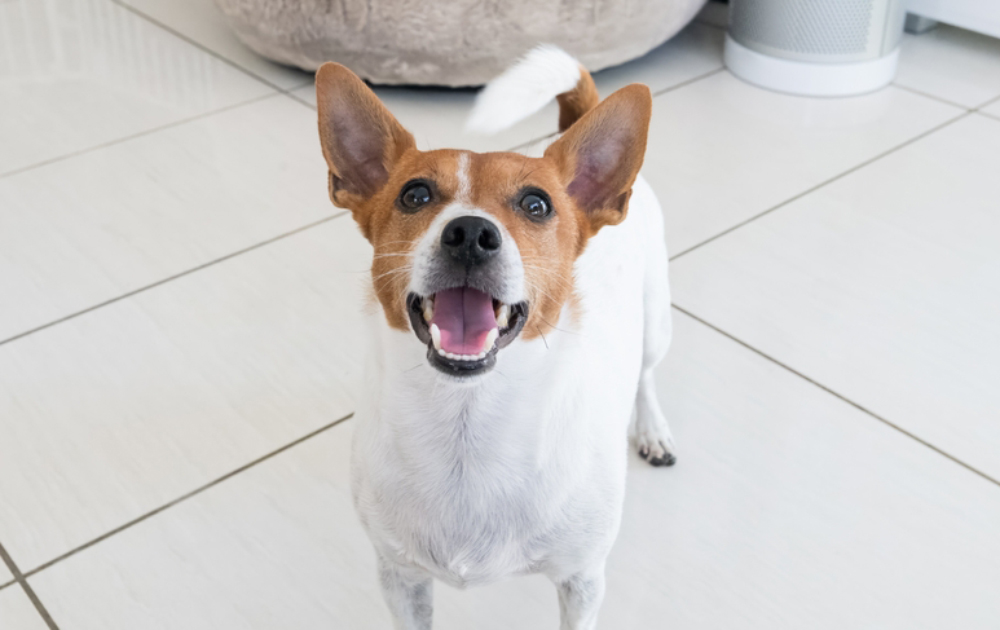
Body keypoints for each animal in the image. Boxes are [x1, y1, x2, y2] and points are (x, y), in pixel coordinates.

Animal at [318, 45, 680, 630]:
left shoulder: (582, 581)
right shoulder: (400, 578)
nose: (469, 233)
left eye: (537, 205)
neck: (470, 422)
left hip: (656, 318)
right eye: (414, 194)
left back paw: (653, 429)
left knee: (646, 373)